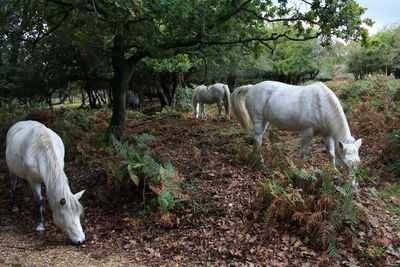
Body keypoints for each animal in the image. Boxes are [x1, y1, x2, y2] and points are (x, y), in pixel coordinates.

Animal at [230, 81, 360, 168]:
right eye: (347, 163)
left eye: (358, 162)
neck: (321, 104)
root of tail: (251, 87)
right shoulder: (308, 131)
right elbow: (303, 152)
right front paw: (299, 170)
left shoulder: (327, 134)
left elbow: (331, 154)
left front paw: (333, 172)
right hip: (258, 120)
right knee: (258, 140)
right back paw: (260, 163)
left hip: (264, 121)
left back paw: (253, 158)